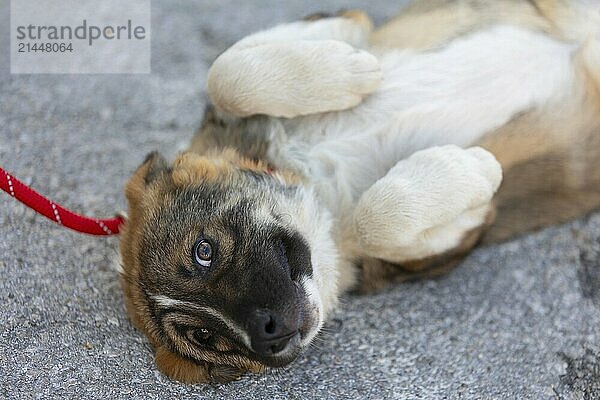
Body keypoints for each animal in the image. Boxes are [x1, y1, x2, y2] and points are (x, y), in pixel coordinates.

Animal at [118, 0, 600, 382]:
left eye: (204, 251)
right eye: (205, 336)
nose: (270, 334)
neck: (321, 192)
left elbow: (226, 72)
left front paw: (352, 66)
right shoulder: (443, 244)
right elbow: (380, 218)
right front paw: (471, 168)